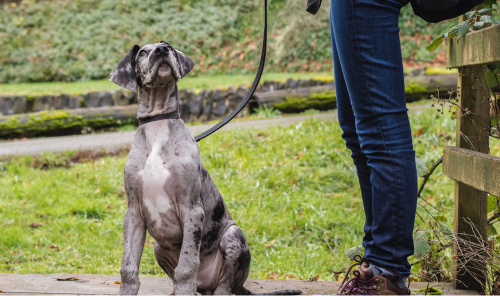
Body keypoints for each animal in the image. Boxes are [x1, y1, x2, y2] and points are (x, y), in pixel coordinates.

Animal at [108, 41, 300, 296]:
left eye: (168, 46)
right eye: (142, 52)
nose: (161, 50)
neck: (158, 125)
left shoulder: (191, 209)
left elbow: (187, 264)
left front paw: (183, 290)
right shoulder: (133, 213)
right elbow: (128, 266)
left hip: (232, 235)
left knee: (224, 286)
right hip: (158, 247)